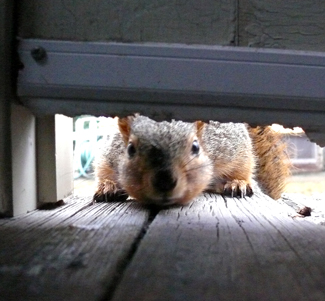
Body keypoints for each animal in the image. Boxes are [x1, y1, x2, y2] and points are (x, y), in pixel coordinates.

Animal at [92, 113, 290, 205]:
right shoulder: (109, 155)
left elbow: (244, 167)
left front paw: (238, 182)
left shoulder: (233, 149)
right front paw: (108, 186)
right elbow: (104, 172)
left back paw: (236, 184)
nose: (164, 182)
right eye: (130, 149)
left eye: (195, 147)